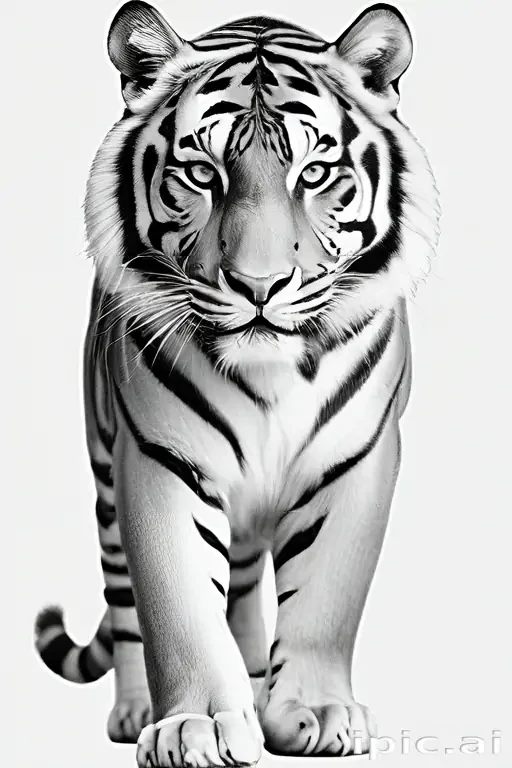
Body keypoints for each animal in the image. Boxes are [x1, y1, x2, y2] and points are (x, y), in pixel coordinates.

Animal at [34, 0, 440, 763]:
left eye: (315, 172)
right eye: (201, 173)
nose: (258, 284)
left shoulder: (358, 458)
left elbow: (326, 597)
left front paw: (314, 711)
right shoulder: (160, 459)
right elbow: (179, 605)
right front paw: (195, 725)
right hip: (104, 476)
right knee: (125, 605)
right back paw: (138, 708)